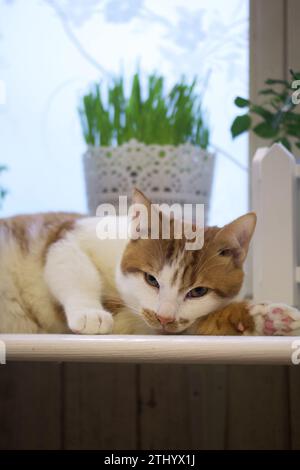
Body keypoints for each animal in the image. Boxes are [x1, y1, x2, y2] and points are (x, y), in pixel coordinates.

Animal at [0, 187, 300, 334]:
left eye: (198, 292)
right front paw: (89, 312)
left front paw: (265, 317)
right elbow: (72, 268)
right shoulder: (66, 234)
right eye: (151, 279)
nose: (164, 316)